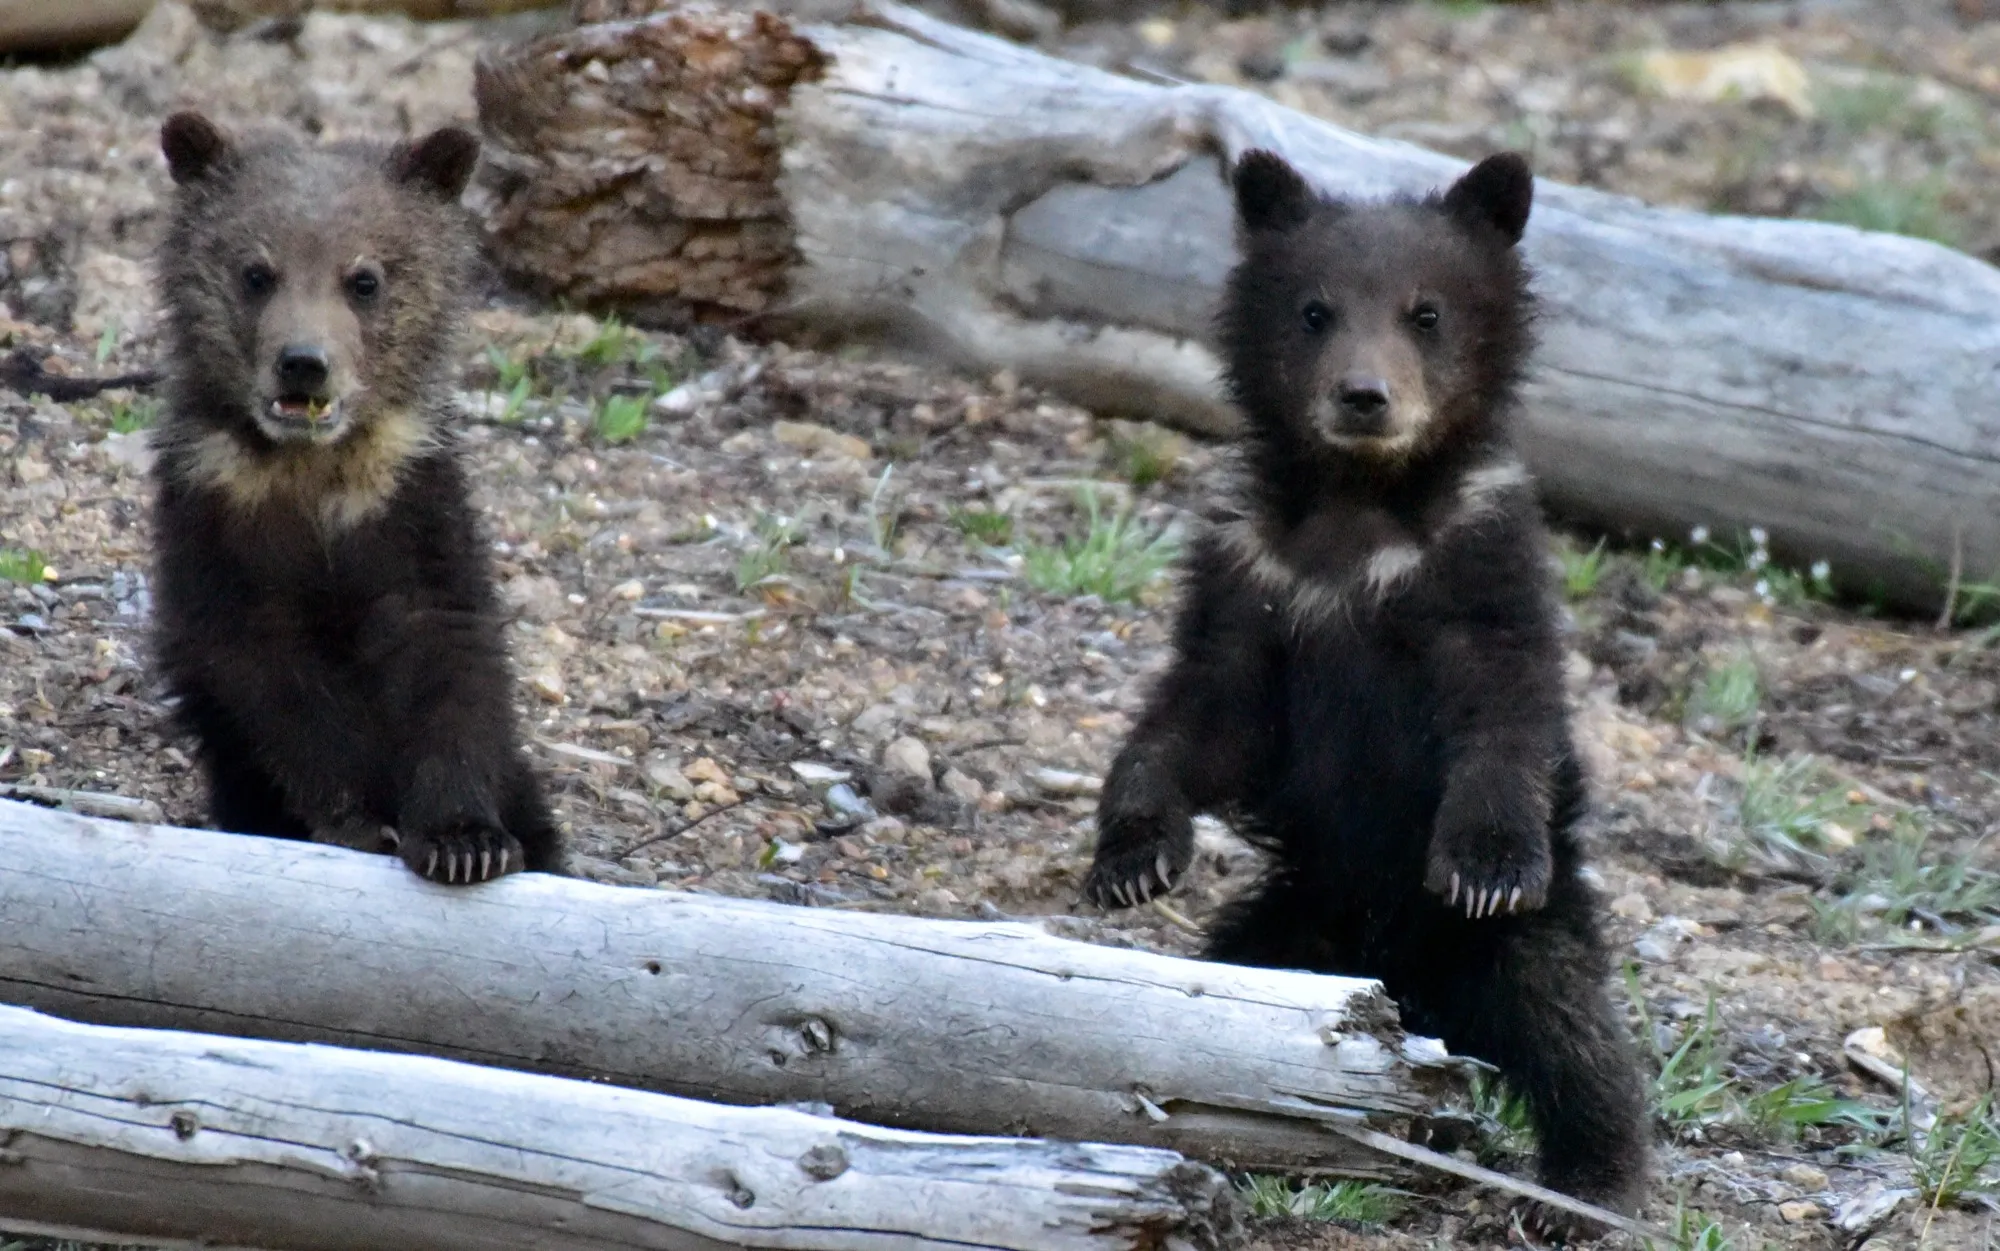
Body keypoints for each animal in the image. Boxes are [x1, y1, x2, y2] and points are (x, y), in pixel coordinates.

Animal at [148, 110, 561, 885]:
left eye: (365, 278)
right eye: (257, 271)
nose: (304, 363)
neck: (315, 472)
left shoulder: (410, 507)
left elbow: (450, 655)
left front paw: (467, 840)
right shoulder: (215, 520)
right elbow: (273, 688)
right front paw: (361, 822)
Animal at [1083, 149, 1650, 1234]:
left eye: (1425, 312)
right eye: (1314, 310)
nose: (1363, 396)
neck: (1358, 512)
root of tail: (1417, 991)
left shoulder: (1473, 566)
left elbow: (1502, 714)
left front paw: (1484, 859)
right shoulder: (1252, 574)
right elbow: (1201, 714)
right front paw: (1131, 854)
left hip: (1509, 942)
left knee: (1572, 1028)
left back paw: (1587, 1183)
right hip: (1291, 929)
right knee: (1229, 988)